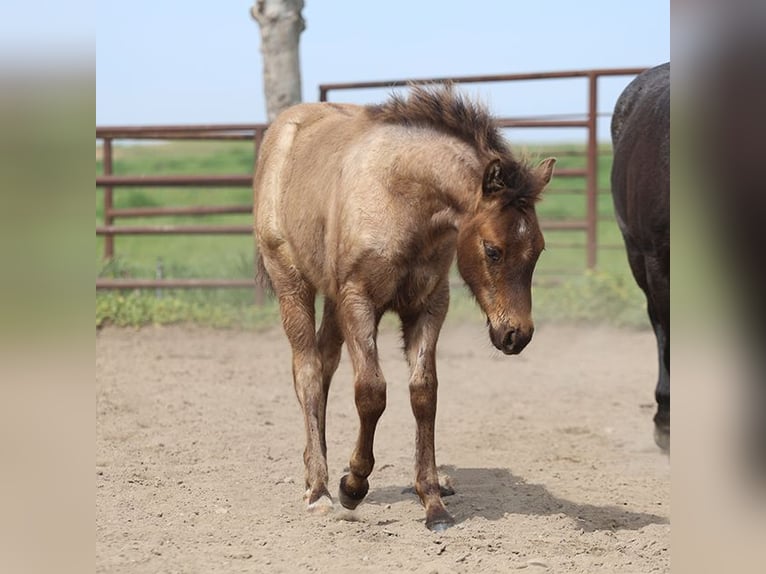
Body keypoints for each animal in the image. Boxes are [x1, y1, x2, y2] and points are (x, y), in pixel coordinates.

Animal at [253, 85, 556, 531]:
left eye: (538, 250)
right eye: (492, 250)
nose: (517, 335)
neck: (402, 198)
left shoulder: (428, 305)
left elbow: (424, 393)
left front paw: (433, 502)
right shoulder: (359, 301)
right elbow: (371, 392)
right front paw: (353, 484)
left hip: (333, 300)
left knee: (324, 365)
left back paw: (315, 470)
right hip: (293, 284)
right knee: (307, 371)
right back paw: (319, 490)